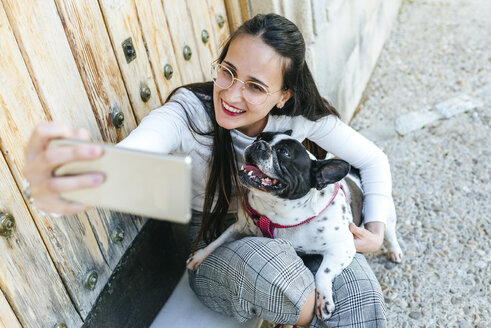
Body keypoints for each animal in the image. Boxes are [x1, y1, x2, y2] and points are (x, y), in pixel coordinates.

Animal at [188, 130, 404, 318]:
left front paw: (323, 299)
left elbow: (323, 273)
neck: (277, 213)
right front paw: (199, 256)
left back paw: (395, 251)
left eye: (284, 152)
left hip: (386, 214)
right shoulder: (240, 227)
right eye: (260, 136)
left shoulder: (342, 248)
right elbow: (218, 241)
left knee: (389, 234)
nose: (259, 144)